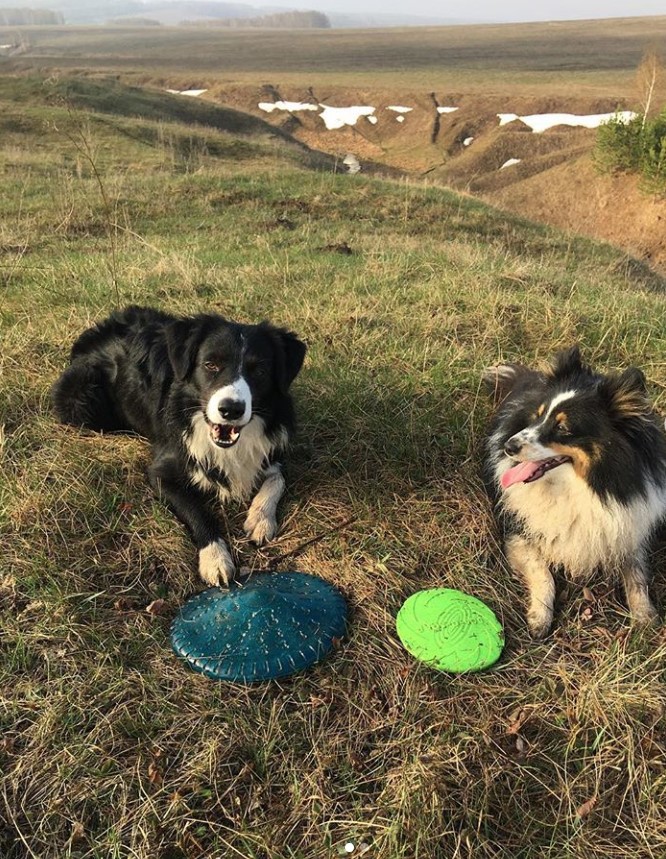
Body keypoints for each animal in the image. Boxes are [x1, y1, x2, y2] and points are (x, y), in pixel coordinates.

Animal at [52, 306, 306, 588]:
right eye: (210, 365)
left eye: (259, 371)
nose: (231, 409)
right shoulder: (162, 473)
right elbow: (198, 512)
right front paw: (215, 559)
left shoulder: (271, 452)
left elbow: (276, 480)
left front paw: (260, 519)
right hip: (82, 398)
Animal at [482, 348, 664, 640]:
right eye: (537, 416)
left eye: (563, 428)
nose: (509, 446)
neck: (580, 487)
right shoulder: (517, 535)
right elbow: (543, 573)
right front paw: (539, 618)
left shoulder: (628, 528)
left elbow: (637, 577)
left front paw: (645, 617)